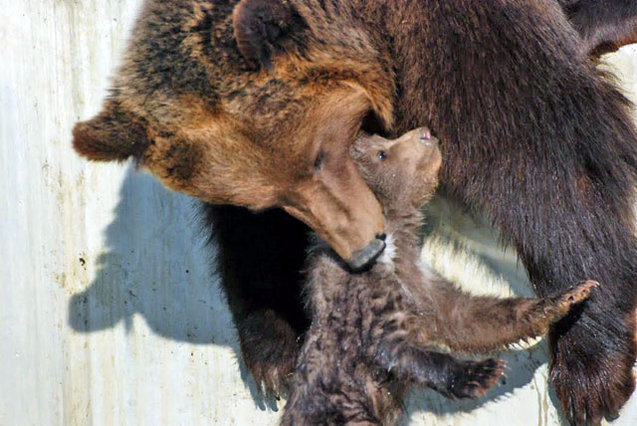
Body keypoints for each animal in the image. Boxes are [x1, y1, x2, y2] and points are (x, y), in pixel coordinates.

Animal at [72, 0, 632, 422]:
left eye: (321, 156)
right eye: (272, 199)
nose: (363, 248)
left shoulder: (456, 32)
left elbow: (541, 149)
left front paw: (589, 365)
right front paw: (275, 349)